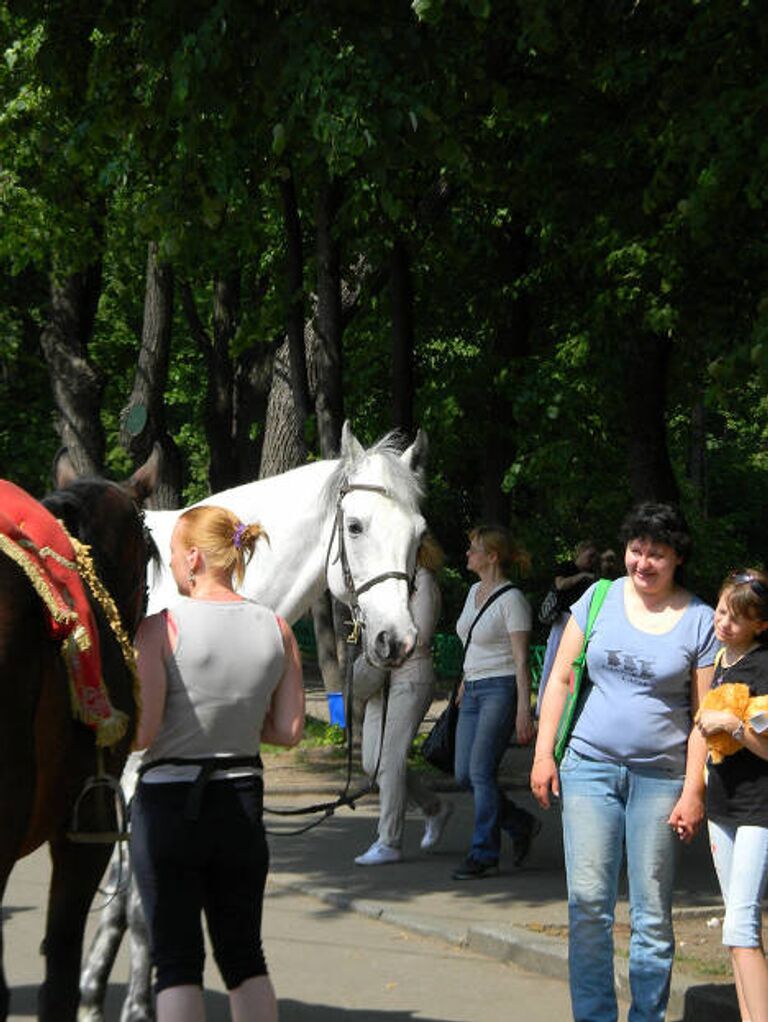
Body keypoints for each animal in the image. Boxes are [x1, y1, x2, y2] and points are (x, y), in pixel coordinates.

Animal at [79, 423, 427, 1021]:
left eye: (418, 534)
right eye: (355, 525)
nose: (397, 641)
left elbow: (126, 897)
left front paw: (95, 998)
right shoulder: (133, 780)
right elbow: (141, 900)